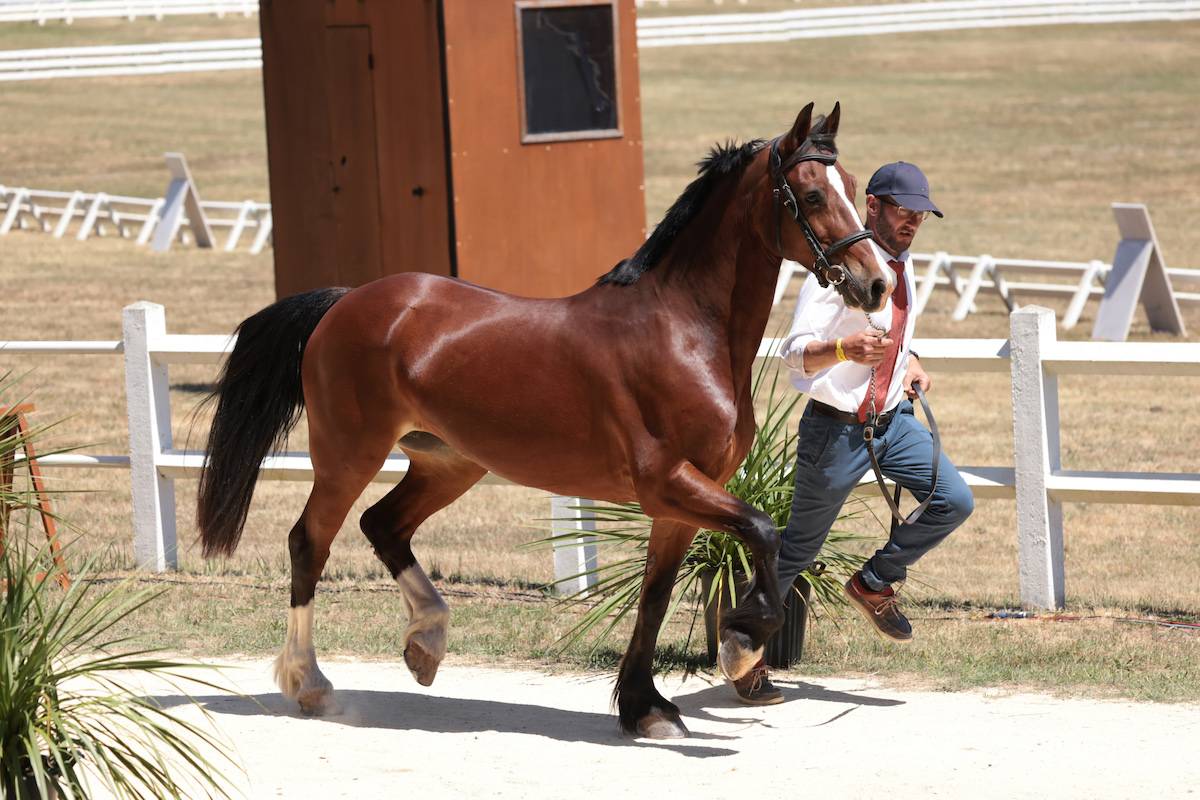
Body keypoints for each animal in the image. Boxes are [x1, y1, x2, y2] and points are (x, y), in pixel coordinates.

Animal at [196, 101, 892, 738]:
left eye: (855, 186)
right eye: (811, 194)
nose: (878, 284)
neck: (684, 330)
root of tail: (345, 302)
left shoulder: (680, 504)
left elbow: (656, 596)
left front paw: (646, 709)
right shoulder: (668, 483)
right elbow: (765, 532)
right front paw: (741, 646)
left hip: (449, 462)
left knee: (382, 524)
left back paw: (426, 644)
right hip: (349, 455)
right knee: (309, 542)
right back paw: (311, 684)